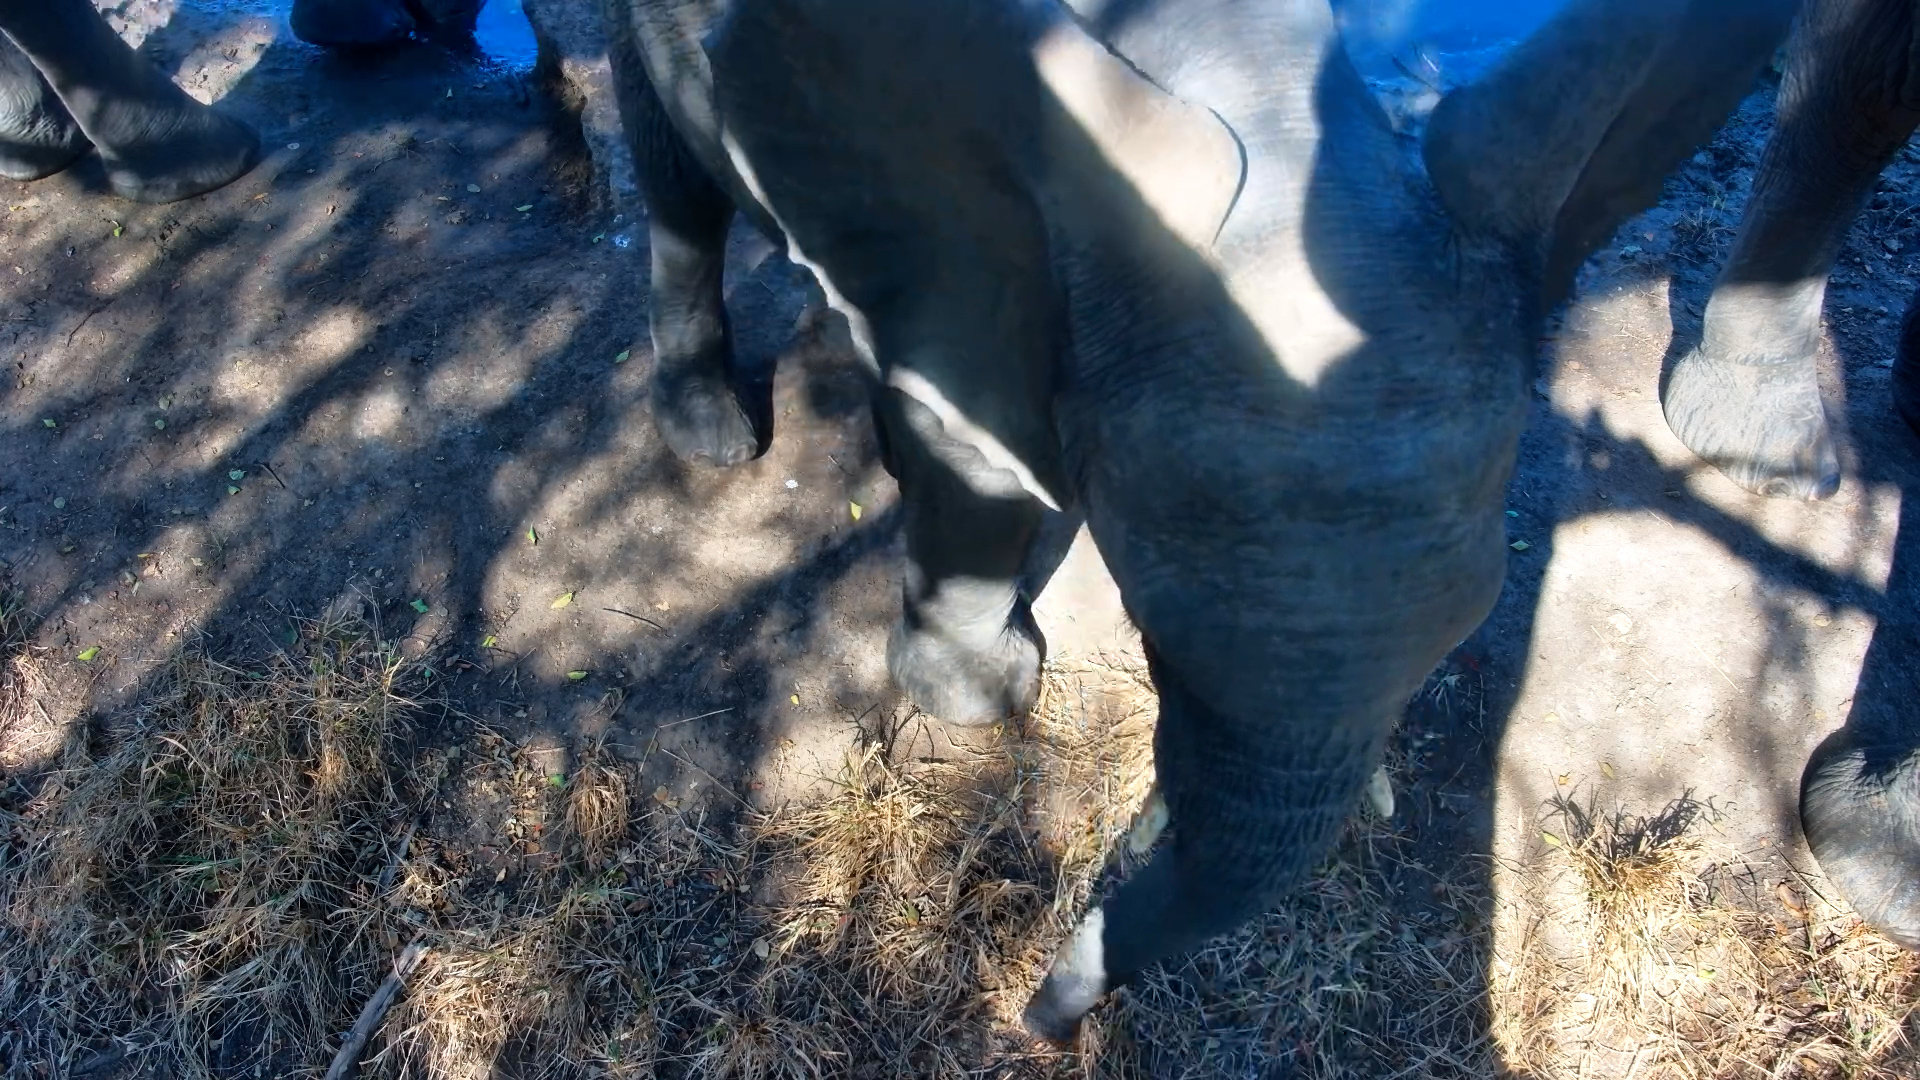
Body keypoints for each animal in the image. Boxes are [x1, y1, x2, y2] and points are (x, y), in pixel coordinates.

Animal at [620, 0, 1799, 1041]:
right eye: (1153, 631)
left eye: (1465, 631)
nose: (1033, 1022)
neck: (1272, 89)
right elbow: (969, 459)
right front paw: (981, 702)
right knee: (673, 168)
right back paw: (715, 432)